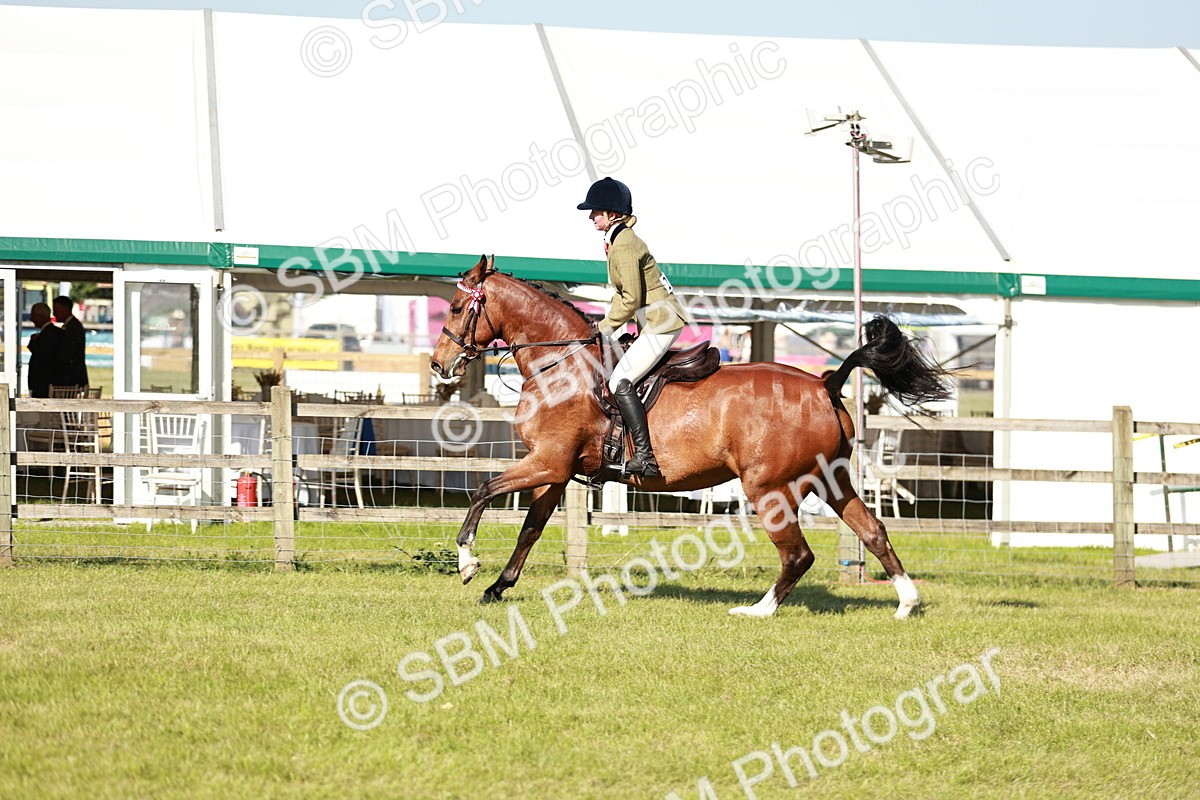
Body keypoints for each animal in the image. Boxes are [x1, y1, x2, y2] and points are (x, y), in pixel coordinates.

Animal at [430, 256, 953, 619]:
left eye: (454, 308)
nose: (438, 365)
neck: (563, 365)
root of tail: (824, 384)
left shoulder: (548, 462)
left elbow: (482, 491)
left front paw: (467, 562)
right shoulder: (556, 471)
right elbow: (530, 529)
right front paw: (498, 586)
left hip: (771, 488)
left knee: (798, 554)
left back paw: (757, 611)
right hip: (831, 481)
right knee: (874, 530)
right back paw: (906, 603)